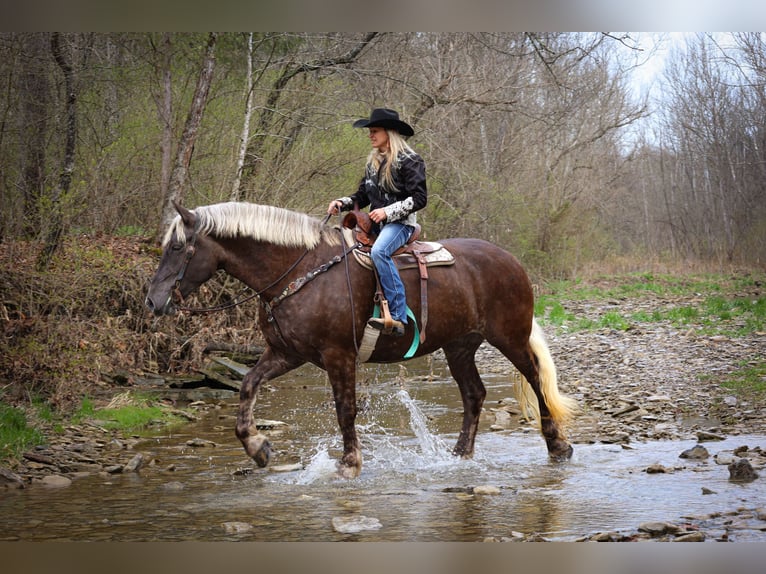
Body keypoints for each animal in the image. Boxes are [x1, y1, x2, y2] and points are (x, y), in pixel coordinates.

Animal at [146, 202, 576, 476]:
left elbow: (345, 410)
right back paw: (459, 456)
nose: (153, 301)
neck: (297, 273)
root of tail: (511, 261)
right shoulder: (286, 353)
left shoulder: (338, 356)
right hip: (460, 346)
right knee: (474, 394)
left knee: (536, 380)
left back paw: (557, 446)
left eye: (178, 247)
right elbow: (248, 386)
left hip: (509, 338)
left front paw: (350, 463)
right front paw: (258, 448)